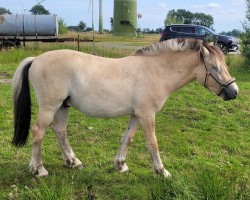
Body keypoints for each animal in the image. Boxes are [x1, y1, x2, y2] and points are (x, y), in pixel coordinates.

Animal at [11, 38, 238, 177]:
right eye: (215, 68)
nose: (234, 92)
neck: (157, 71)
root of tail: (36, 59)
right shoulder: (147, 115)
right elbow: (152, 143)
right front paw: (161, 171)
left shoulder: (137, 115)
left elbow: (127, 138)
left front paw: (120, 165)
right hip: (50, 107)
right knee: (38, 132)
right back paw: (39, 169)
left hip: (62, 107)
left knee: (60, 132)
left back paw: (73, 161)